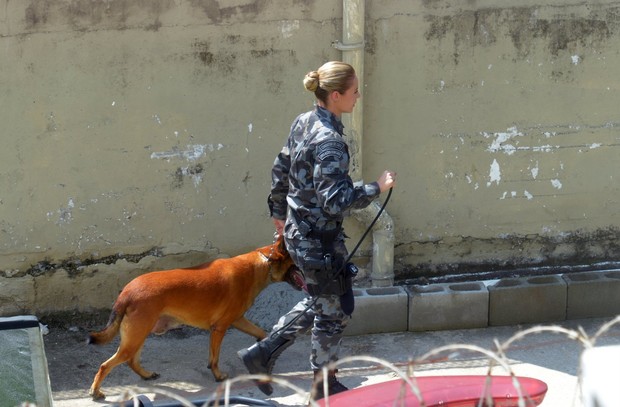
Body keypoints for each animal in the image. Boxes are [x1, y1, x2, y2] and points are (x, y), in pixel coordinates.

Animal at [86, 237, 296, 400]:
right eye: (294, 263)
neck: (262, 263)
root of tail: (126, 292)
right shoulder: (221, 327)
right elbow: (215, 359)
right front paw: (218, 375)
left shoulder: (237, 320)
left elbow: (260, 333)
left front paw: (263, 348)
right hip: (134, 339)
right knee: (106, 365)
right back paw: (96, 391)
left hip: (139, 336)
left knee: (131, 361)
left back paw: (146, 375)